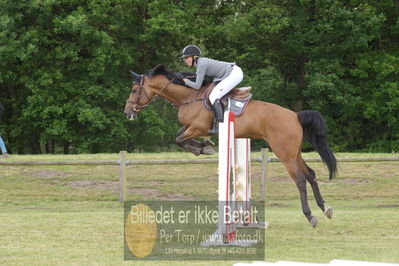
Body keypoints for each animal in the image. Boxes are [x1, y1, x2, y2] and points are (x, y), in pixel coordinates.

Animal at [125, 64, 338, 227]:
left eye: (134, 90)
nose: (127, 112)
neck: (189, 97)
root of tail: (295, 115)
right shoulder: (190, 127)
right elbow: (179, 137)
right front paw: (204, 146)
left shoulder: (197, 127)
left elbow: (179, 139)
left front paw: (203, 147)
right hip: (294, 153)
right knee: (311, 174)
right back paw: (325, 208)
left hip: (285, 154)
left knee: (300, 180)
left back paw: (310, 216)